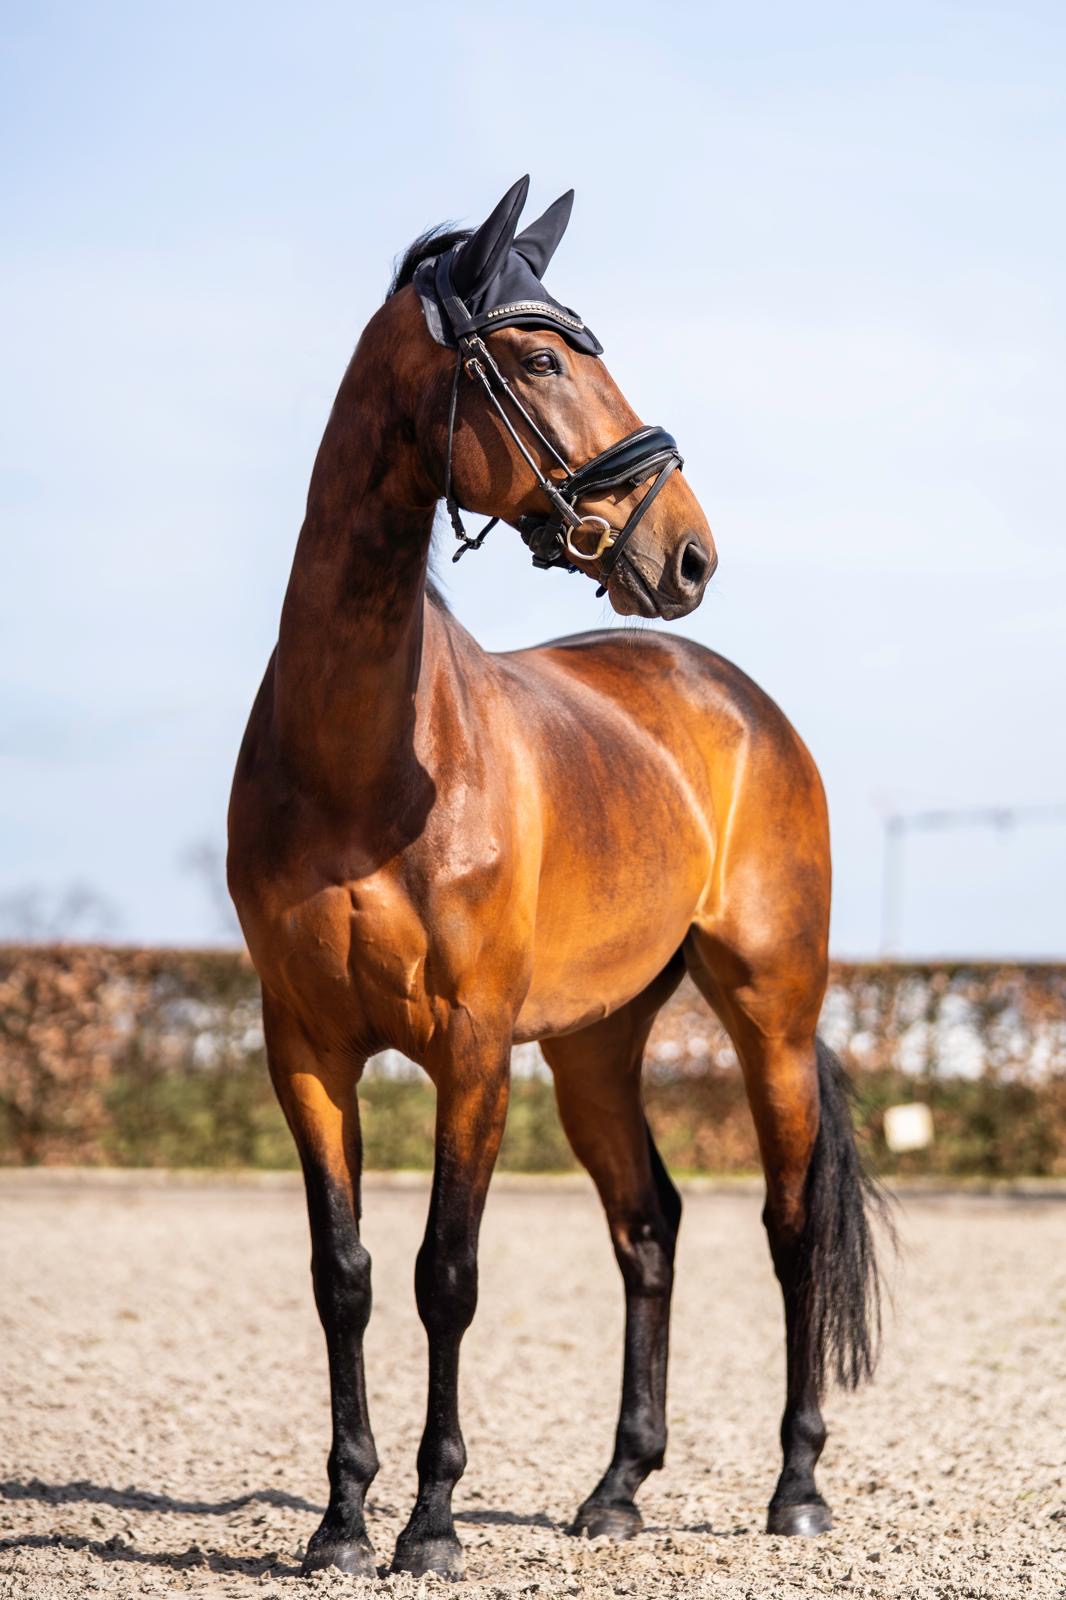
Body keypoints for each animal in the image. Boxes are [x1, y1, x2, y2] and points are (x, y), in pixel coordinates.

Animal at [227, 176, 883, 1580]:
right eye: (536, 359)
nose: (686, 553)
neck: (368, 756)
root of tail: (738, 702)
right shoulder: (303, 1043)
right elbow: (344, 1273)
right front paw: (340, 1521)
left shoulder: (472, 1047)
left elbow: (447, 1274)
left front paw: (430, 1523)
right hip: (595, 1042)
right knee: (648, 1224)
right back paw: (617, 1487)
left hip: (771, 1011)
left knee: (789, 1227)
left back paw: (796, 1487)